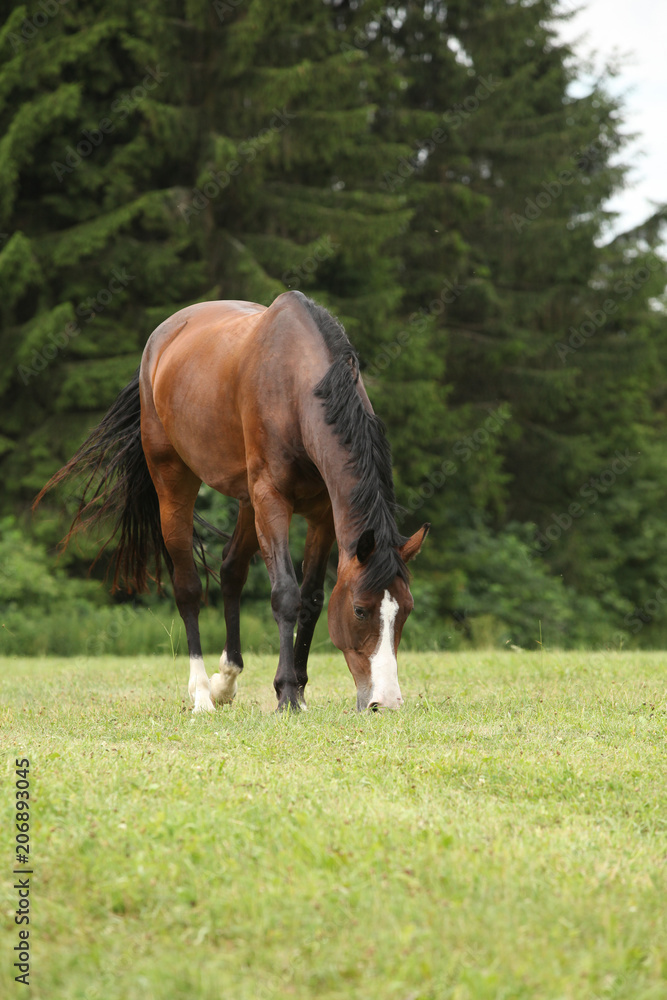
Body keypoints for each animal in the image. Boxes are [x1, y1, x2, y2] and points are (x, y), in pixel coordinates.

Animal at [35, 291, 429, 712]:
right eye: (360, 610)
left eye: (406, 609)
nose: (385, 702)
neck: (295, 388)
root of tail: (160, 341)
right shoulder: (272, 500)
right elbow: (285, 595)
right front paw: (287, 694)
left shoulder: (323, 514)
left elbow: (311, 599)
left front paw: (299, 690)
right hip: (175, 487)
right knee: (188, 587)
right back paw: (201, 693)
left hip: (247, 502)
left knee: (230, 570)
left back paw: (226, 680)